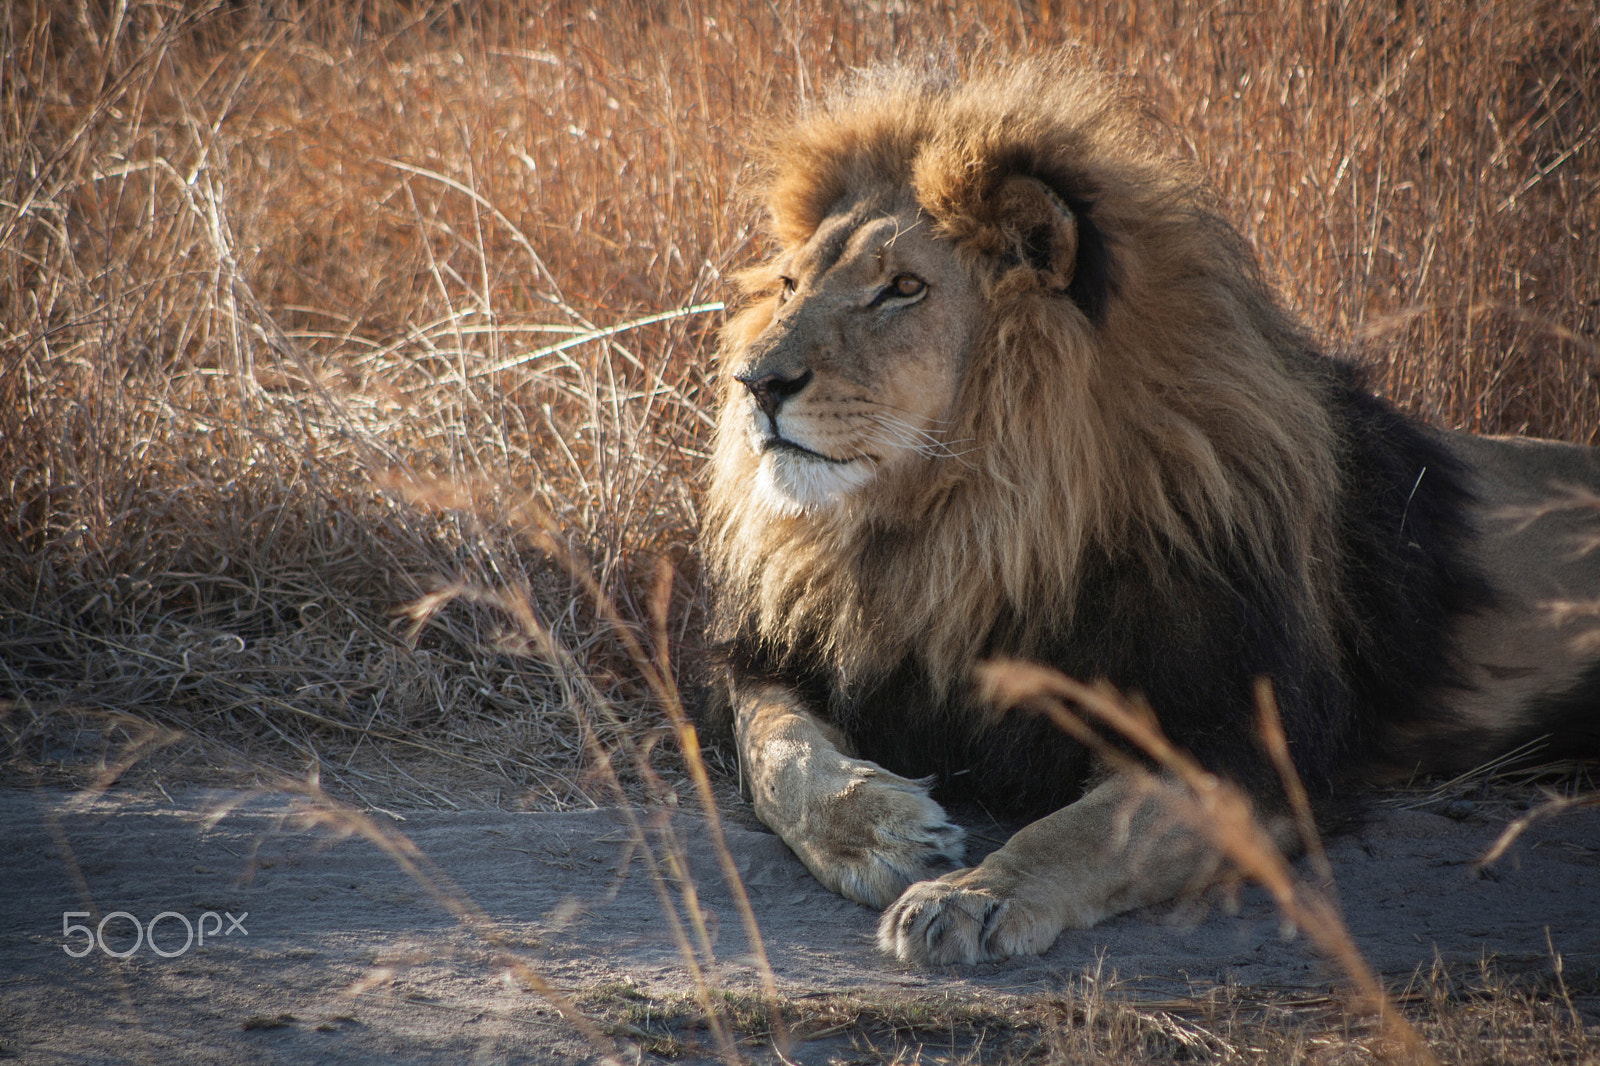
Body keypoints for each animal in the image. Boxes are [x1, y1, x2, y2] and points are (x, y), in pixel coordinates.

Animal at [703, 55, 1600, 966]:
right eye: (788, 285)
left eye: (902, 288)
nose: (755, 383)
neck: (968, 530)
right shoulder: (804, 661)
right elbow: (777, 750)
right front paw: (885, 832)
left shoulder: (1242, 738)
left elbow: (1090, 830)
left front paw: (971, 896)